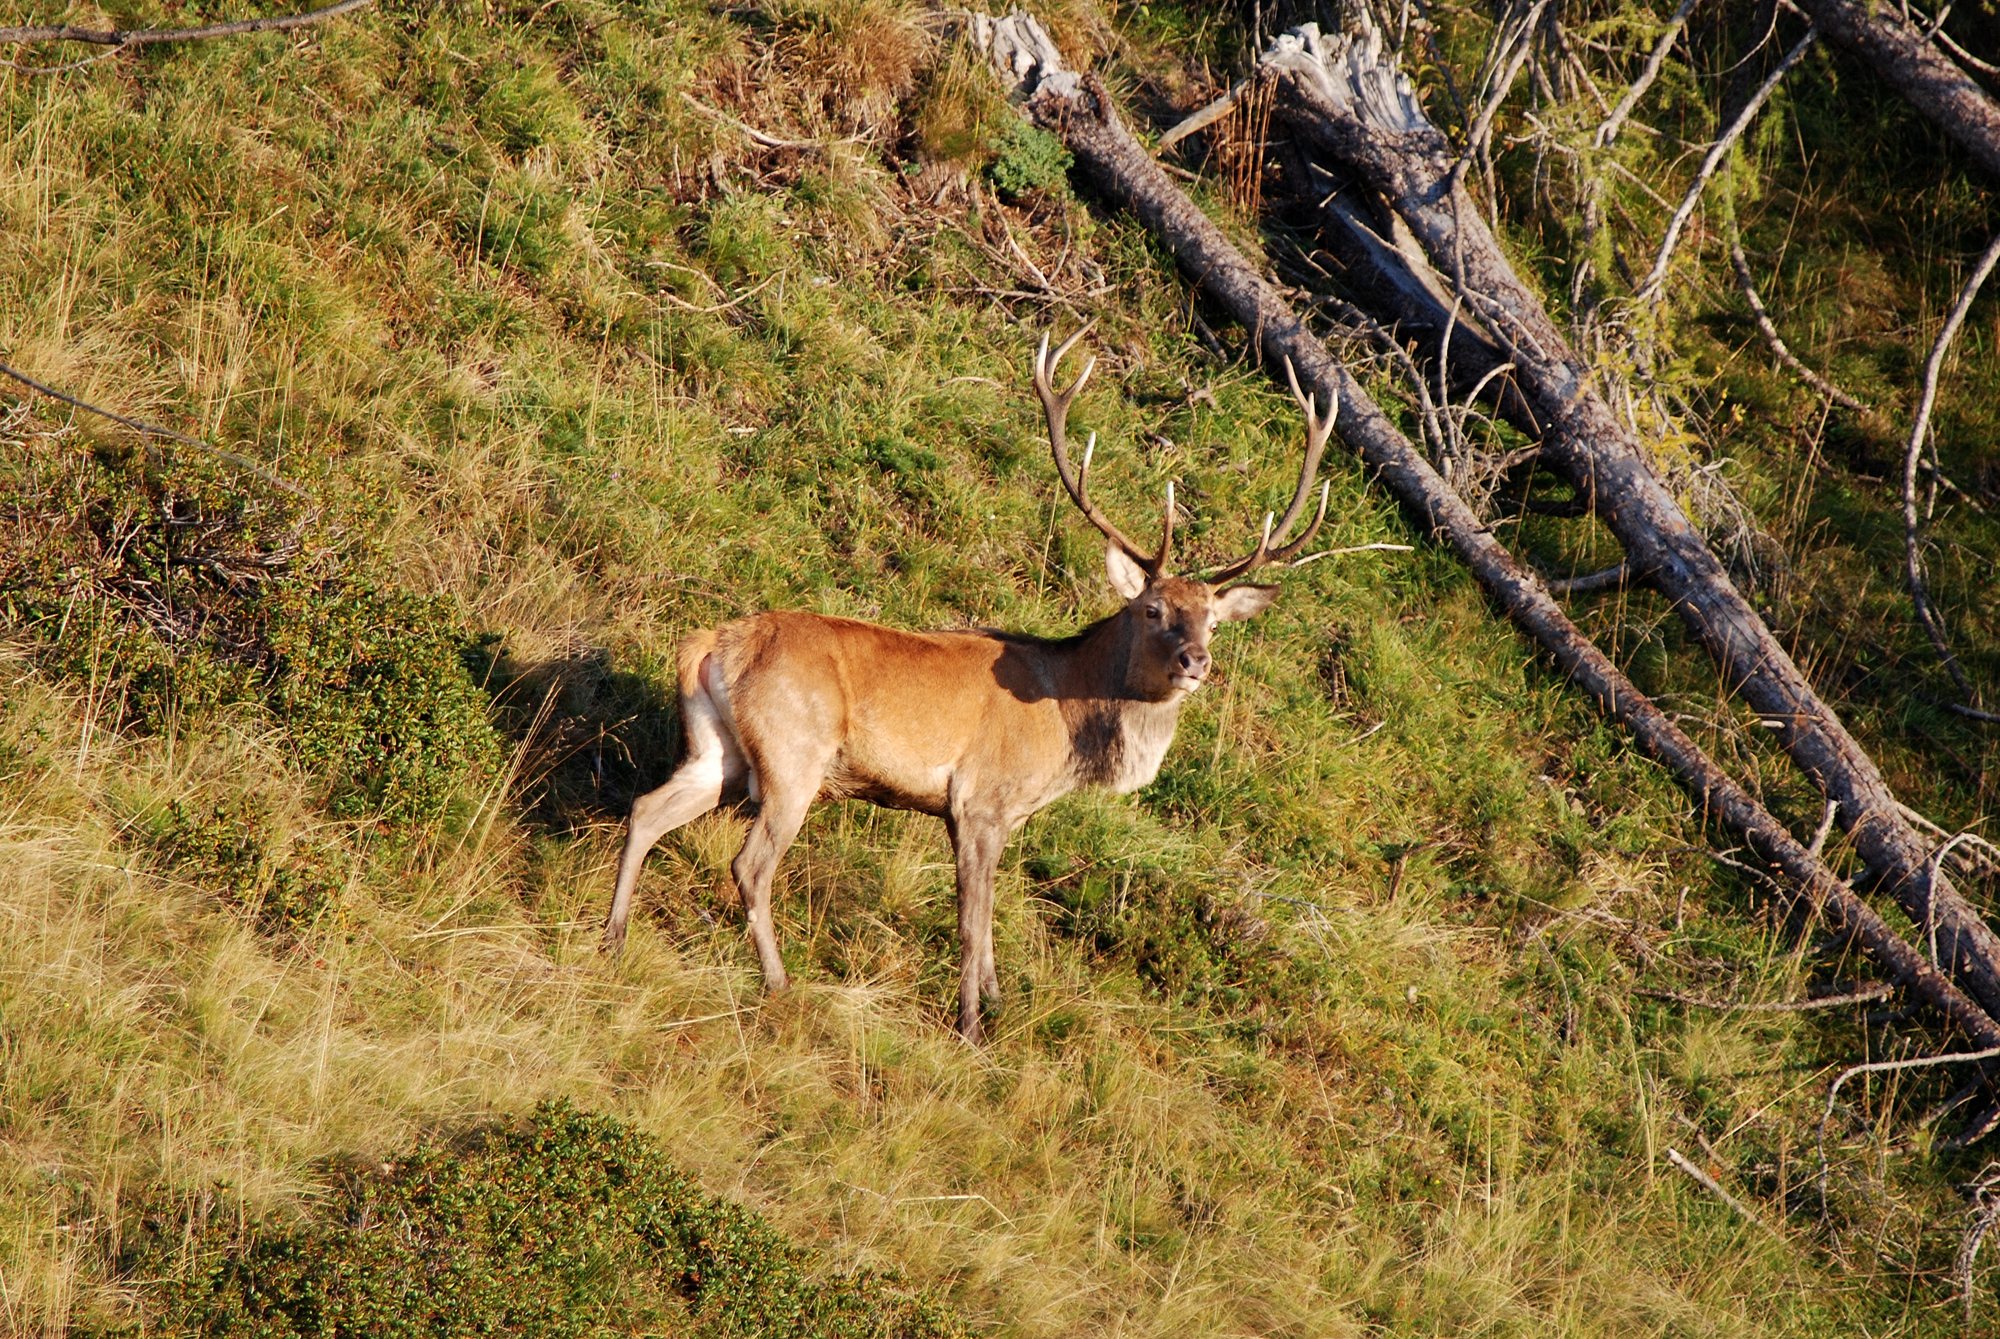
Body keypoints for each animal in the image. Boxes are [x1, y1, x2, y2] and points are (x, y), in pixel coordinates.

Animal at [601, 329, 1336, 1042]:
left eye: (1211, 618)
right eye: (1153, 610)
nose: (1195, 661)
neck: (1067, 725)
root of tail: (712, 644)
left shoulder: (1004, 814)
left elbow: (986, 925)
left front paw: (994, 1008)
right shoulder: (980, 797)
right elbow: (973, 921)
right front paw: (972, 1027)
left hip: (719, 751)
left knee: (648, 809)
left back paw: (612, 937)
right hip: (793, 754)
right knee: (749, 864)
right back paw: (779, 984)